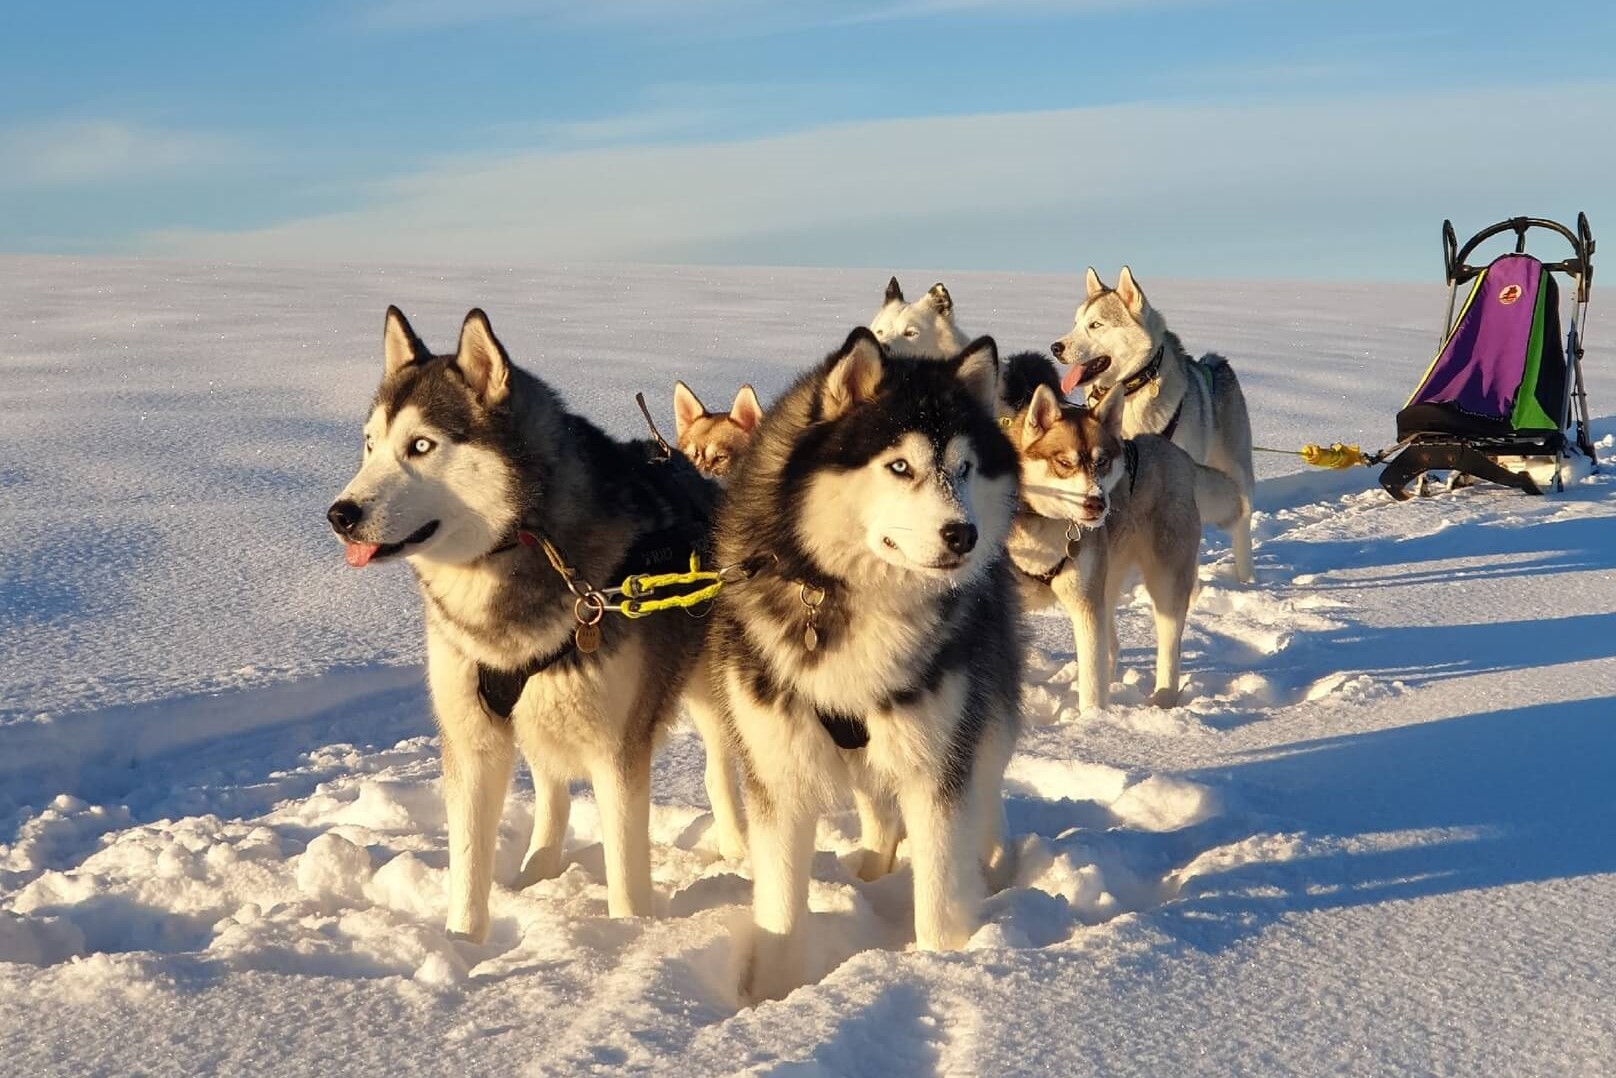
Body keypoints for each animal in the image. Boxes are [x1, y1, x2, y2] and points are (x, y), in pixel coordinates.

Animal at [331, 307, 746, 937]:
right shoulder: (472, 744)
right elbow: (468, 869)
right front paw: (464, 945)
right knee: (552, 785)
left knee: (720, 772)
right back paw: (538, 867)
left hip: (708, 698)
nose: (340, 515)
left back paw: (739, 853)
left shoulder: (617, 751)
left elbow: (626, 877)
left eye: (421, 445)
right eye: (370, 445)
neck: (521, 548)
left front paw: (627, 940)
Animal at [711, 329, 1021, 1002]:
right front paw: (775, 995)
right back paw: (873, 870)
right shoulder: (778, 771)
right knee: (878, 807)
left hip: (978, 725)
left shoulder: (937, 765)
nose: (963, 534)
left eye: (964, 467)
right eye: (899, 465)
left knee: (983, 805)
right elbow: (780, 906)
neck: (853, 597)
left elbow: (938, 890)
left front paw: (943, 966)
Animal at [1008, 383, 1234, 711]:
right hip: (1108, 580)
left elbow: (1092, 681)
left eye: (1101, 462)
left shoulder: (1085, 604)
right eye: (1064, 463)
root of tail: (1177, 455)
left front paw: (1092, 721)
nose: (1096, 503)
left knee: (1166, 646)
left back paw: (1163, 698)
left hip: (1164, 581)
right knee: (1111, 646)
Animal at [1053, 268, 1254, 581]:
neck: (1130, 392)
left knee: (1242, 518)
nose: (1056, 347)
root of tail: (1215, 364)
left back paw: (1246, 575)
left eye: (1095, 324)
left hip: (1235, 468)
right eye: (1075, 323)